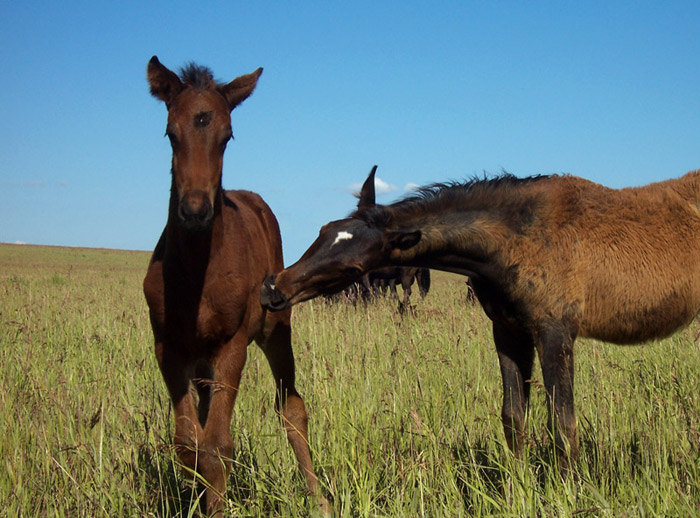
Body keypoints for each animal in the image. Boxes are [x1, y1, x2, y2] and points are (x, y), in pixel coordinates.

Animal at [143, 57, 328, 516]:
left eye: (226, 136)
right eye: (170, 133)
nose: (195, 210)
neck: (195, 274)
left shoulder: (232, 345)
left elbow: (216, 446)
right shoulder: (168, 348)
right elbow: (189, 444)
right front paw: (197, 501)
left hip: (275, 330)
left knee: (292, 408)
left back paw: (318, 497)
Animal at [262, 166, 700, 472]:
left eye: (354, 268)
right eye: (324, 229)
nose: (273, 288)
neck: (510, 244)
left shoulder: (555, 330)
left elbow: (563, 423)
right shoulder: (507, 330)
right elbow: (513, 417)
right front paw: (518, 486)